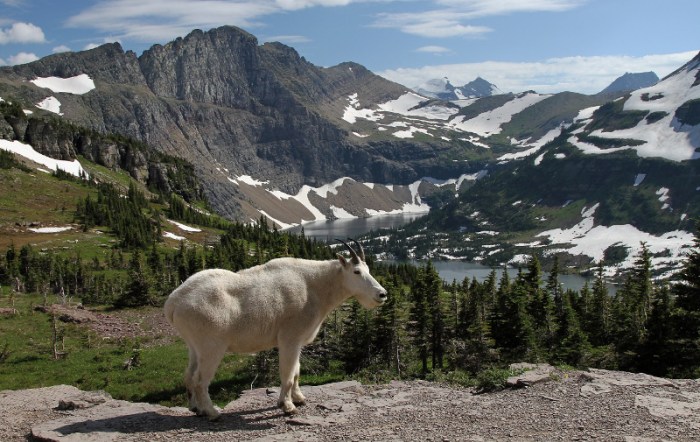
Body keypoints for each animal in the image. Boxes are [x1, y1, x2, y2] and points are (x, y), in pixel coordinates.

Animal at [164, 239, 387, 420]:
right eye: (357, 272)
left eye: (368, 270)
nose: (382, 294)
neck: (315, 287)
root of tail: (173, 302)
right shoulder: (290, 338)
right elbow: (287, 374)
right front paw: (287, 406)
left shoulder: (298, 342)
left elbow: (296, 371)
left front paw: (299, 398)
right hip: (211, 346)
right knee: (200, 380)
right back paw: (212, 413)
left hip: (194, 345)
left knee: (189, 375)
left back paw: (196, 409)